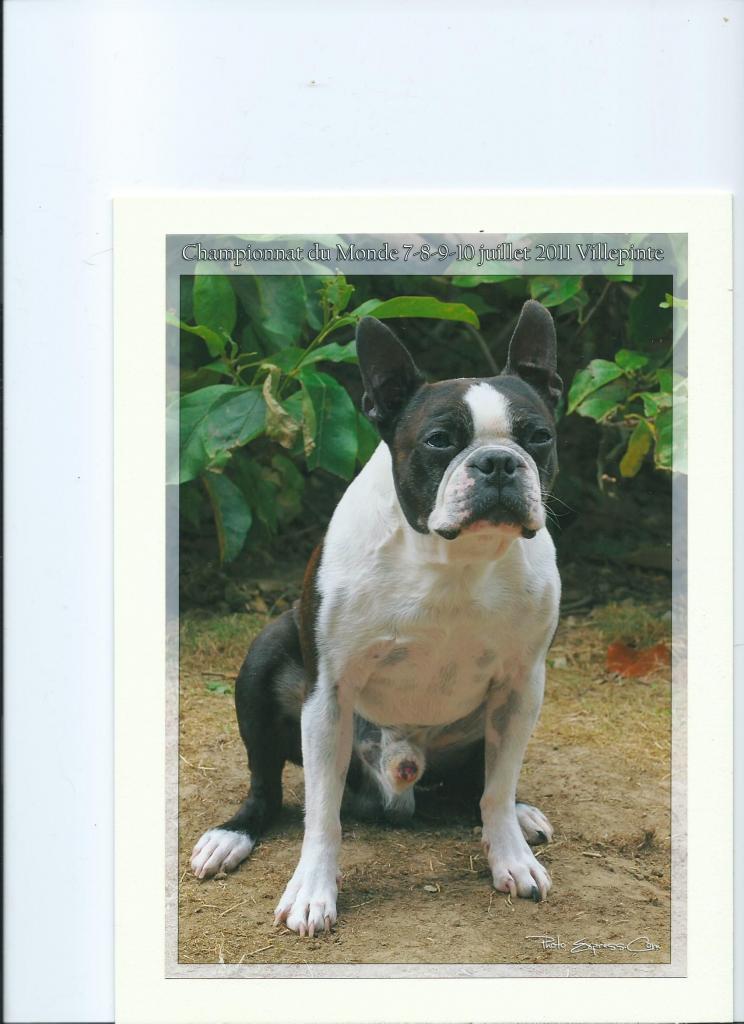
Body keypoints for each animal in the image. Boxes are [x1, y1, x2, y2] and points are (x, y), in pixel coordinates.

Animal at [191, 299, 562, 936]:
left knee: (481, 785)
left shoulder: (522, 687)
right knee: (268, 785)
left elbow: (497, 787)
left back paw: (518, 814)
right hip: (266, 656)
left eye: (539, 437)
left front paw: (511, 857)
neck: (454, 559)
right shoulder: (329, 693)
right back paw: (232, 834)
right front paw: (313, 890)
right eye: (438, 441)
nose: (496, 462)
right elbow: (321, 812)